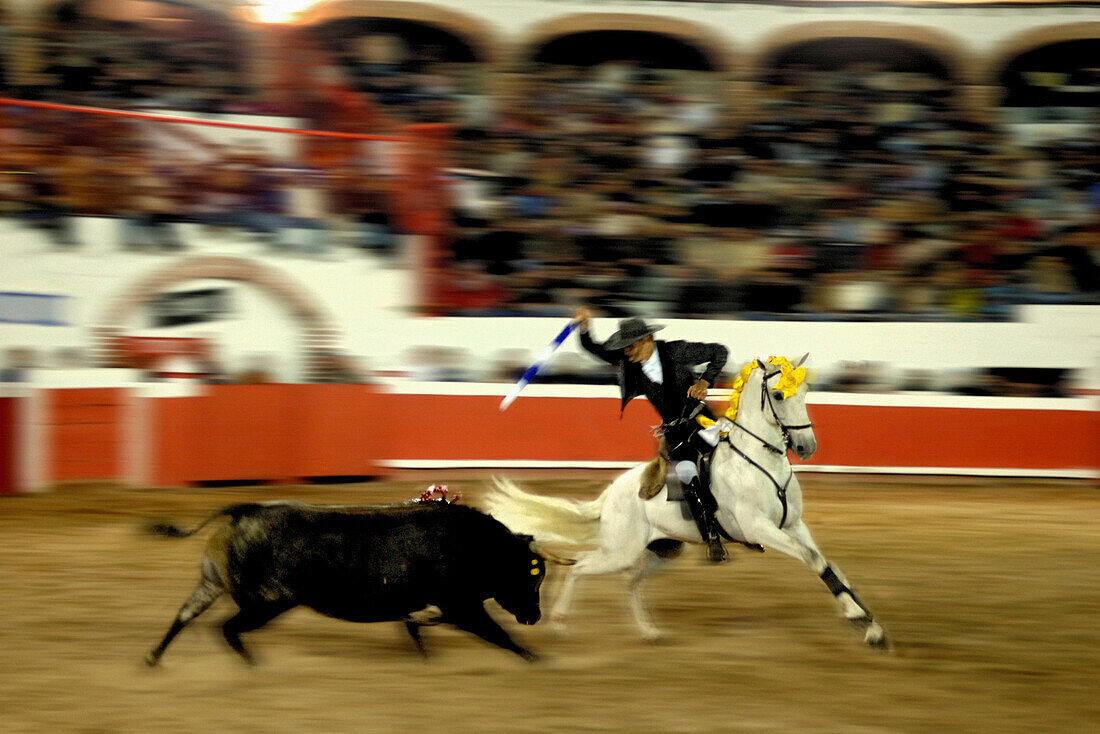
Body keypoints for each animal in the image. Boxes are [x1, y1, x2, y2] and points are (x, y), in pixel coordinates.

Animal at [144, 499, 567, 664]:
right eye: (528, 575)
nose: (534, 617)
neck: (479, 546)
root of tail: (246, 510)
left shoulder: (434, 608)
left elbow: (416, 630)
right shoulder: (463, 607)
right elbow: (499, 635)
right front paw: (537, 660)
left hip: (213, 583)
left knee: (186, 615)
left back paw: (154, 658)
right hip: (268, 602)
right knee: (227, 627)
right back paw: (254, 665)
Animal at [486, 356, 888, 647]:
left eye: (806, 390)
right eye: (777, 395)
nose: (806, 447)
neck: (760, 462)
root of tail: (611, 494)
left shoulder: (793, 525)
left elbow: (829, 565)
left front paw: (870, 625)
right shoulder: (761, 528)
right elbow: (813, 560)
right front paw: (859, 618)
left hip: (664, 549)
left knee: (631, 581)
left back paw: (649, 631)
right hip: (620, 550)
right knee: (581, 566)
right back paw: (559, 624)